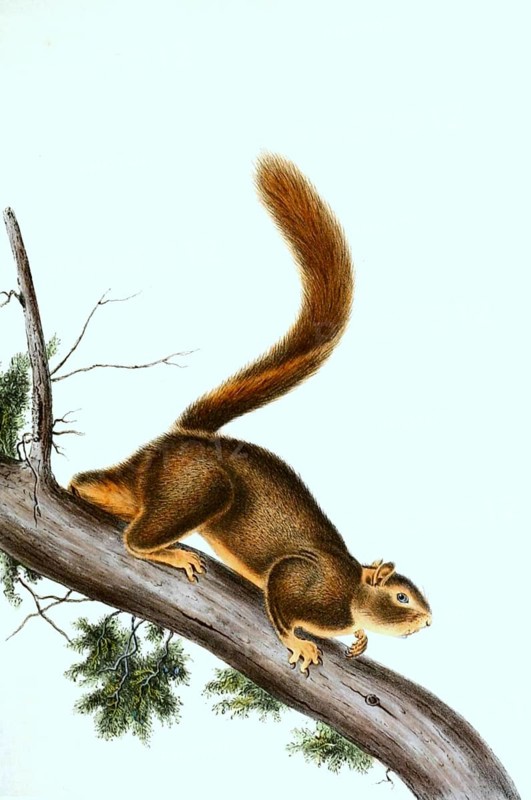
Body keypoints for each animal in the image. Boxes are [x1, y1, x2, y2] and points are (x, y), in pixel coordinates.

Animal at [69, 154, 432, 673]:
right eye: (402, 597)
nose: (429, 621)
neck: (350, 588)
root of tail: (190, 437)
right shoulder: (299, 578)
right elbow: (280, 599)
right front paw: (298, 642)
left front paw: (361, 637)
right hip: (197, 488)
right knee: (135, 538)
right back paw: (172, 554)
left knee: (103, 486)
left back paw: (84, 489)